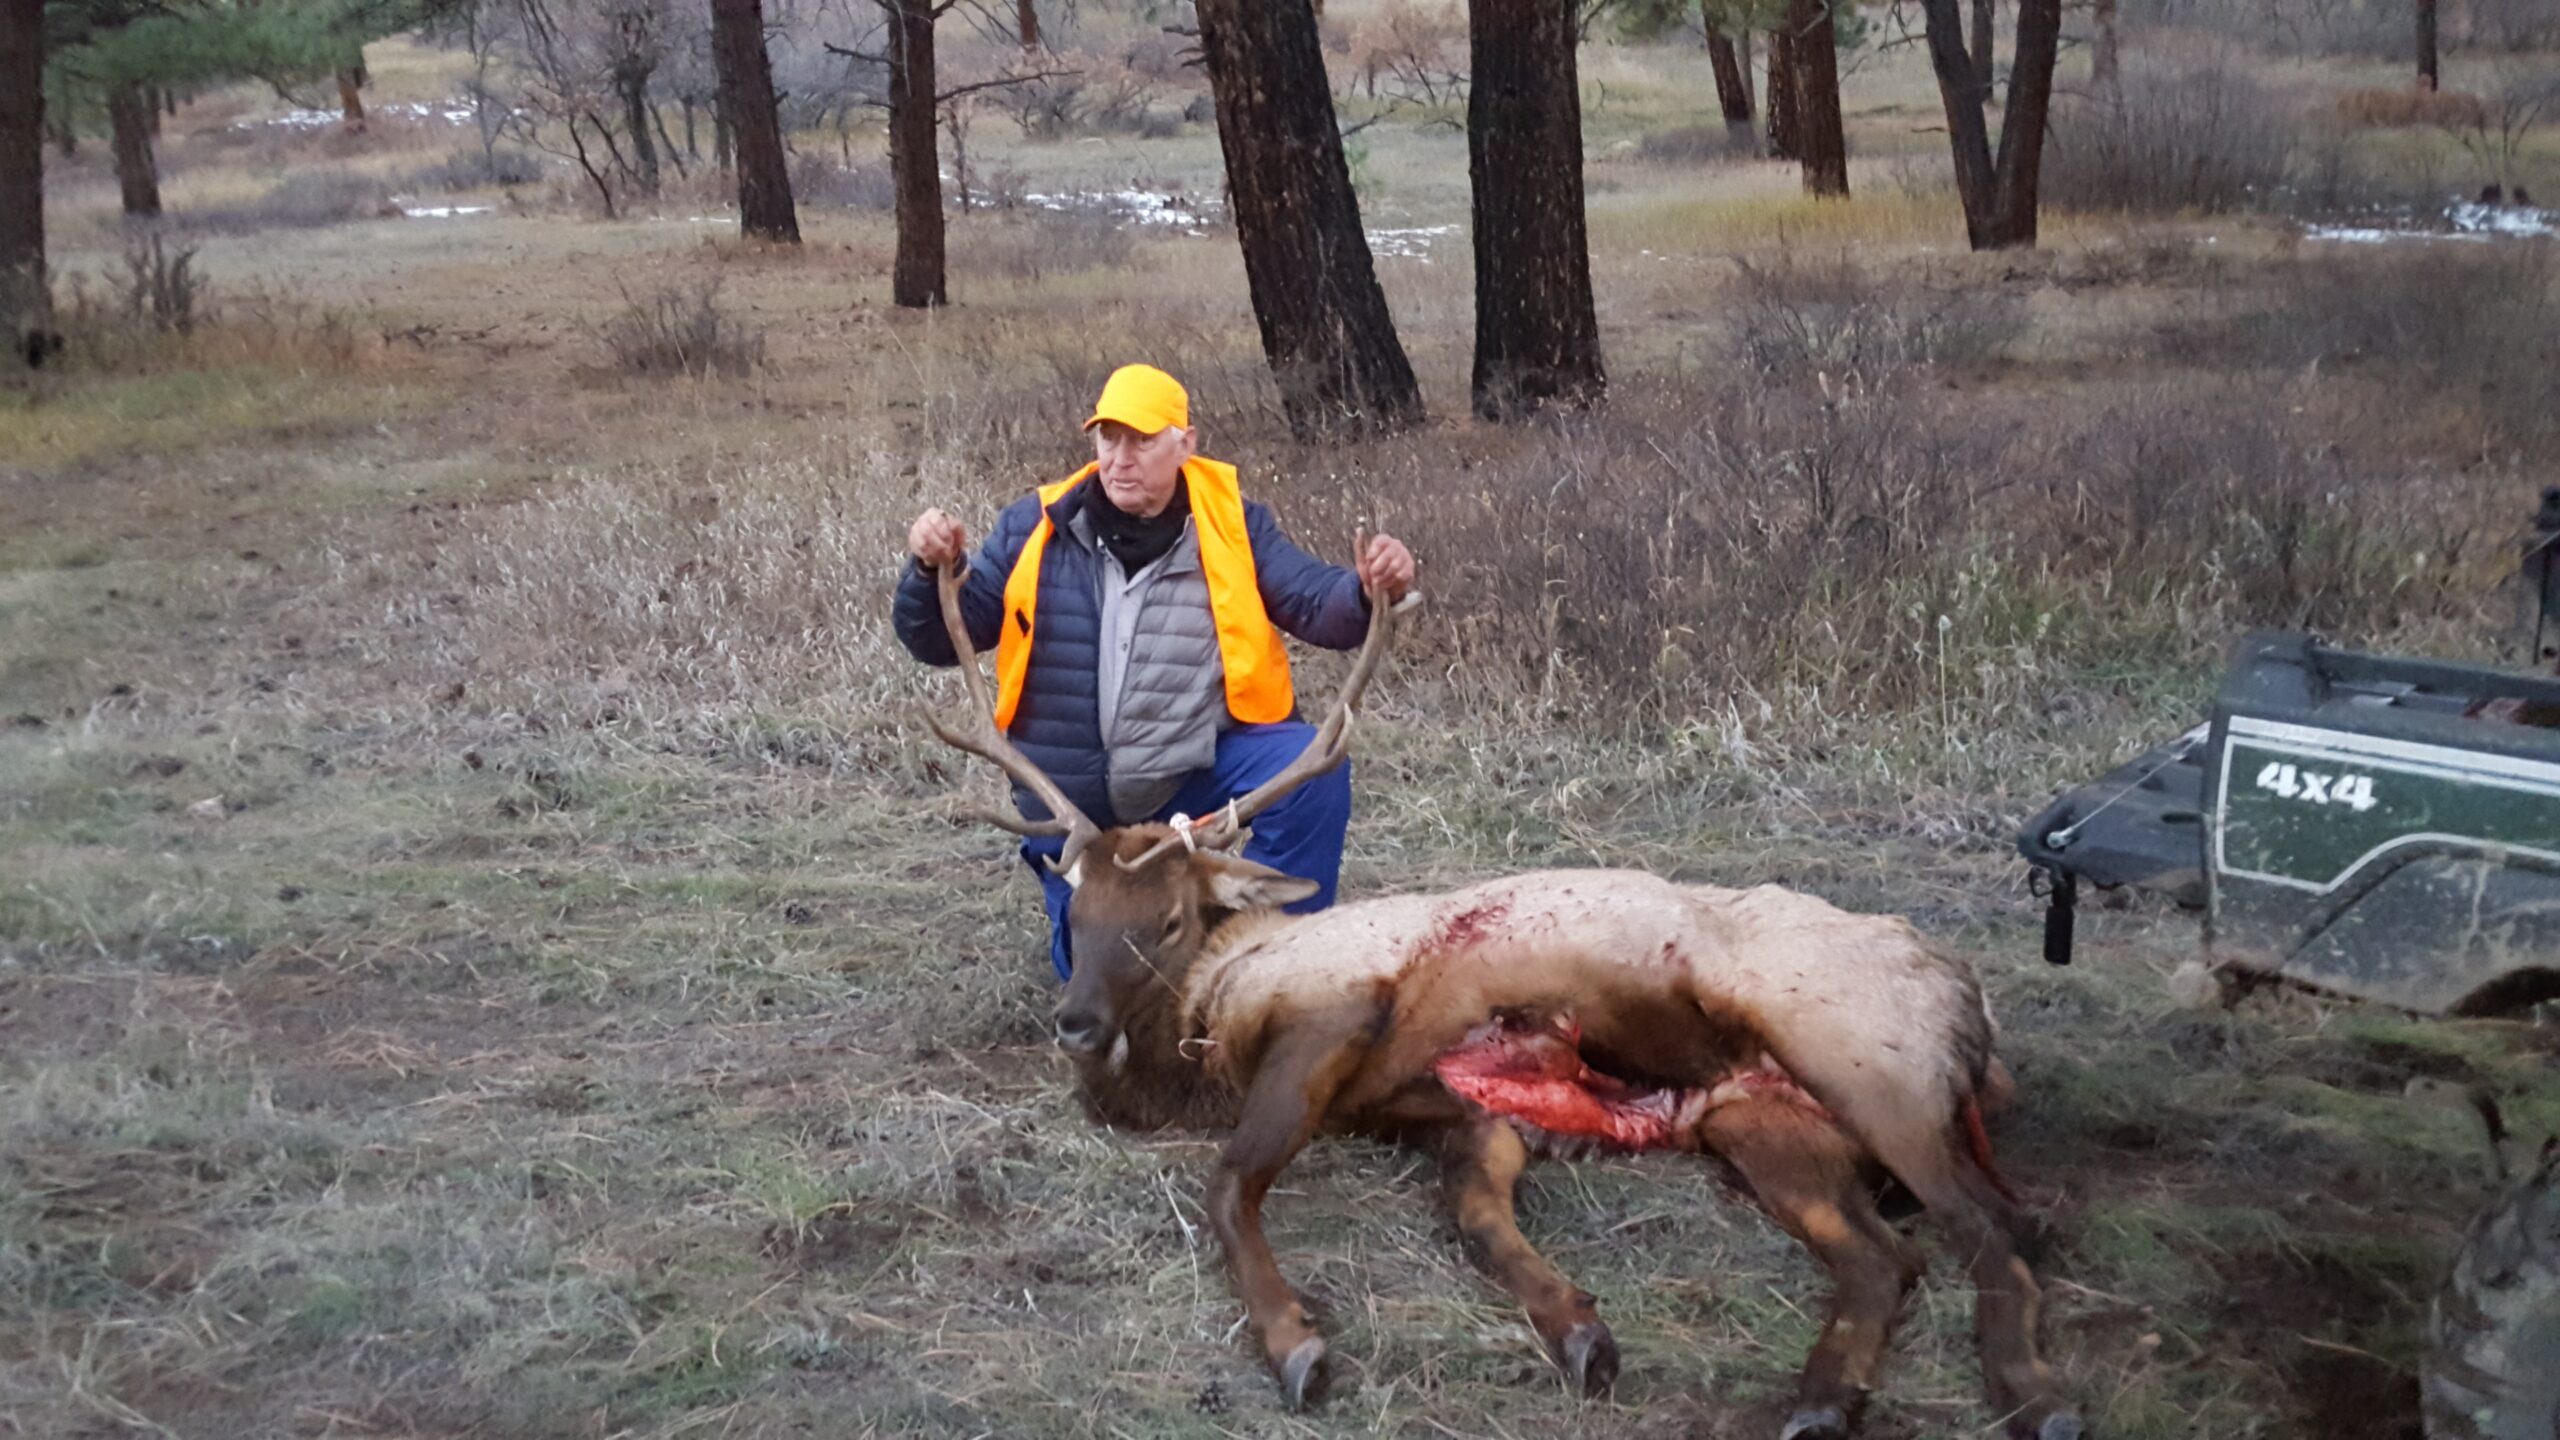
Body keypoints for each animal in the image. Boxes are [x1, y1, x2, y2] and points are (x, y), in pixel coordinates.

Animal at [921, 563, 2078, 1434]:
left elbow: (1229, 1181)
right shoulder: (1452, 1105)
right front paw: (1578, 1328)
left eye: (1164, 918)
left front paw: (1297, 1342)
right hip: (1763, 1122)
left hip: (1868, 1062)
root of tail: (1969, 1002)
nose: (1076, 1025)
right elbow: (1477, 1212)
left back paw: (2031, 1396)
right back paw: (1821, 1399)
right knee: (1889, 1258)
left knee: (2000, 1230)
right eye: (1076, 907)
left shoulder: (1335, 1013)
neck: (1208, 1026)